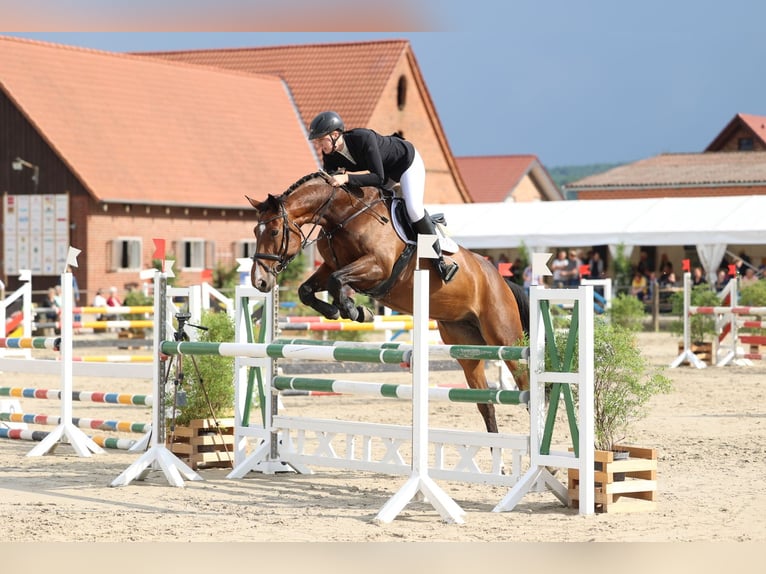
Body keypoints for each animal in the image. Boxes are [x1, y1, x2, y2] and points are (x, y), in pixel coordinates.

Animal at [249, 173, 532, 434]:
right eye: (254, 231)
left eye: (274, 231)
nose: (259, 281)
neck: (344, 216)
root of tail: (499, 278)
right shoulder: (331, 265)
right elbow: (307, 289)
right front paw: (340, 310)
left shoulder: (377, 266)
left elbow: (336, 280)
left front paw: (356, 311)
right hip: (465, 344)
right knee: (485, 404)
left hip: (505, 338)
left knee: (525, 385)